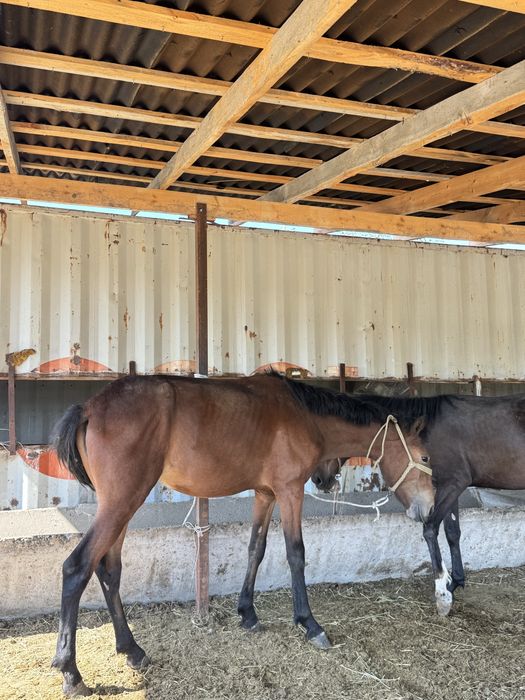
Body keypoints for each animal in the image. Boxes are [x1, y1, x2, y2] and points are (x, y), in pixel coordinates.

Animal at [51, 372, 433, 697]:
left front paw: (247, 613)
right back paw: (71, 672)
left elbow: (256, 548)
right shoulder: (290, 491)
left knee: (109, 570)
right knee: (77, 567)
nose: (428, 509)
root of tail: (90, 408)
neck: (302, 414)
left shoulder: (266, 494)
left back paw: (131, 649)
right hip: (123, 502)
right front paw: (309, 623)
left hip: (121, 506)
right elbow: (296, 553)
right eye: (426, 457)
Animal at [312, 391, 525, 618]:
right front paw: (455, 583)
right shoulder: (448, 489)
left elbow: (430, 529)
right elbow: (452, 533)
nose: (317, 479)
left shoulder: (452, 484)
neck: (428, 433)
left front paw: (443, 593)